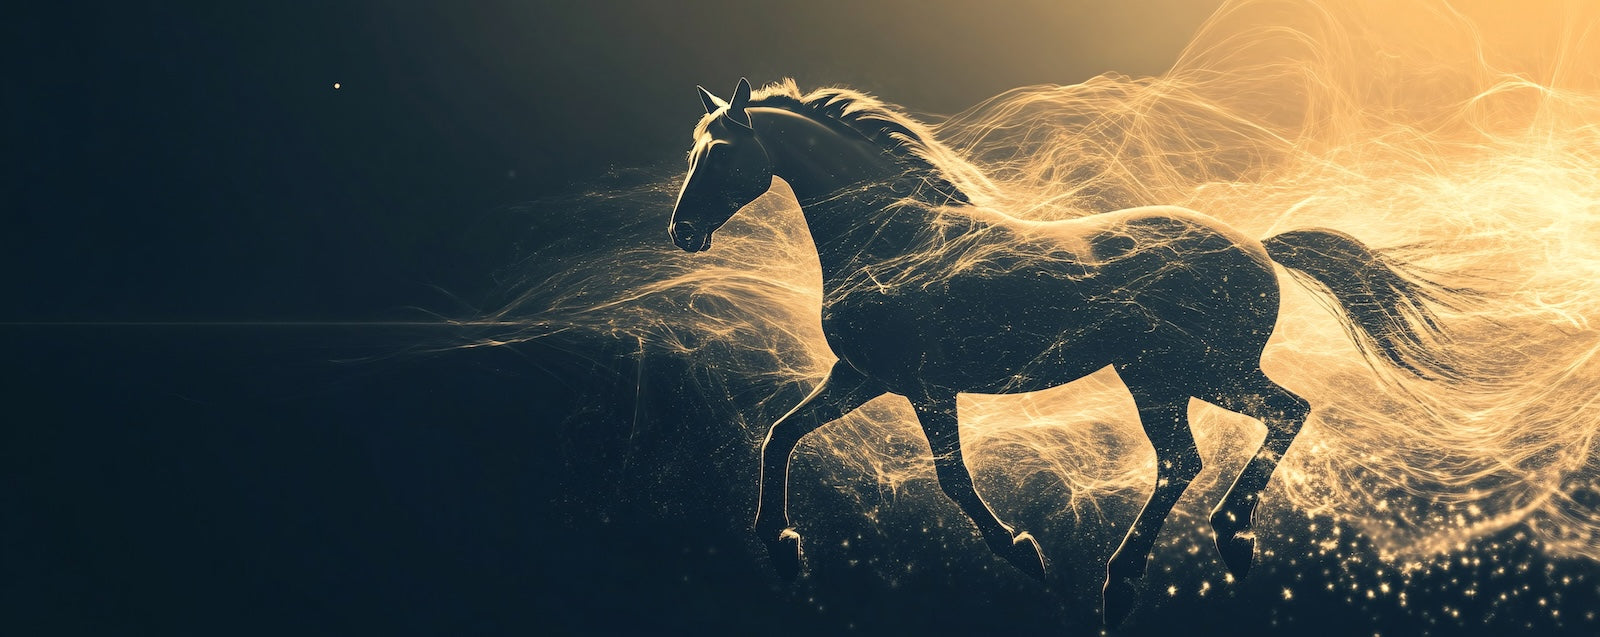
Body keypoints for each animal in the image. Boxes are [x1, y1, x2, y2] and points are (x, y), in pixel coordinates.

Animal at [667, 78, 1468, 625]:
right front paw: (782, 546)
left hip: (1176, 373)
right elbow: (780, 435)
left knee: (1225, 439)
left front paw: (1024, 551)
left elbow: (952, 476)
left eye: (723, 153)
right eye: (693, 151)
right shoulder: (861, 376)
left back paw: (1145, 574)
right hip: (1185, 375)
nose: (683, 232)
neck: (897, 240)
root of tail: (1259, 248)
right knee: (1249, 429)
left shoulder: (926, 385)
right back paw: (1218, 542)